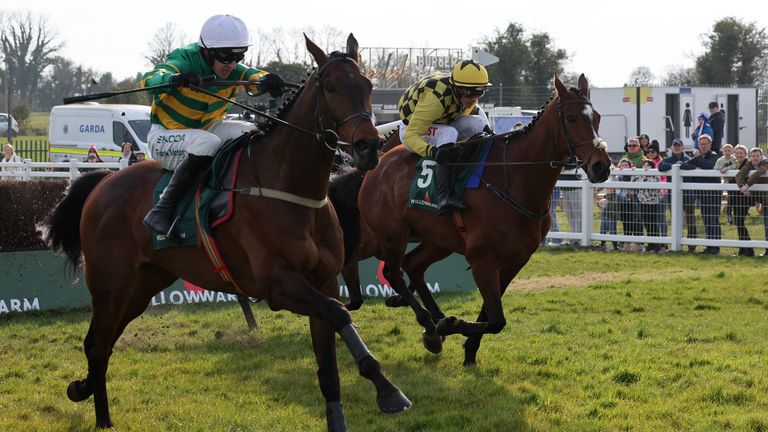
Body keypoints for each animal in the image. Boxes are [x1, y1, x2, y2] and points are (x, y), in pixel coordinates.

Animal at [44, 34, 412, 432]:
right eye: (330, 87)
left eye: (368, 86)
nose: (368, 146)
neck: (290, 187)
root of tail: (103, 182)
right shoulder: (277, 286)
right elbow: (341, 313)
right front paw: (389, 390)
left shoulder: (324, 282)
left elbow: (329, 365)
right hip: (111, 284)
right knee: (98, 345)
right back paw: (102, 418)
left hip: (143, 285)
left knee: (102, 341)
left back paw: (82, 388)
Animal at [340, 75, 608, 364]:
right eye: (571, 118)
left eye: (597, 117)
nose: (602, 166)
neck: (513, 179)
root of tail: (373, 167)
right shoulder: (482, 259)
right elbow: (497, 320)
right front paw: (451, 325)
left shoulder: (515, 260)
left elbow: (491, 314)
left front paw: (467, 347)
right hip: (393, 235)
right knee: (392, 271)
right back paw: (429, 321)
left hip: (438, 241)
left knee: (413, 265)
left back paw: (433, 322)